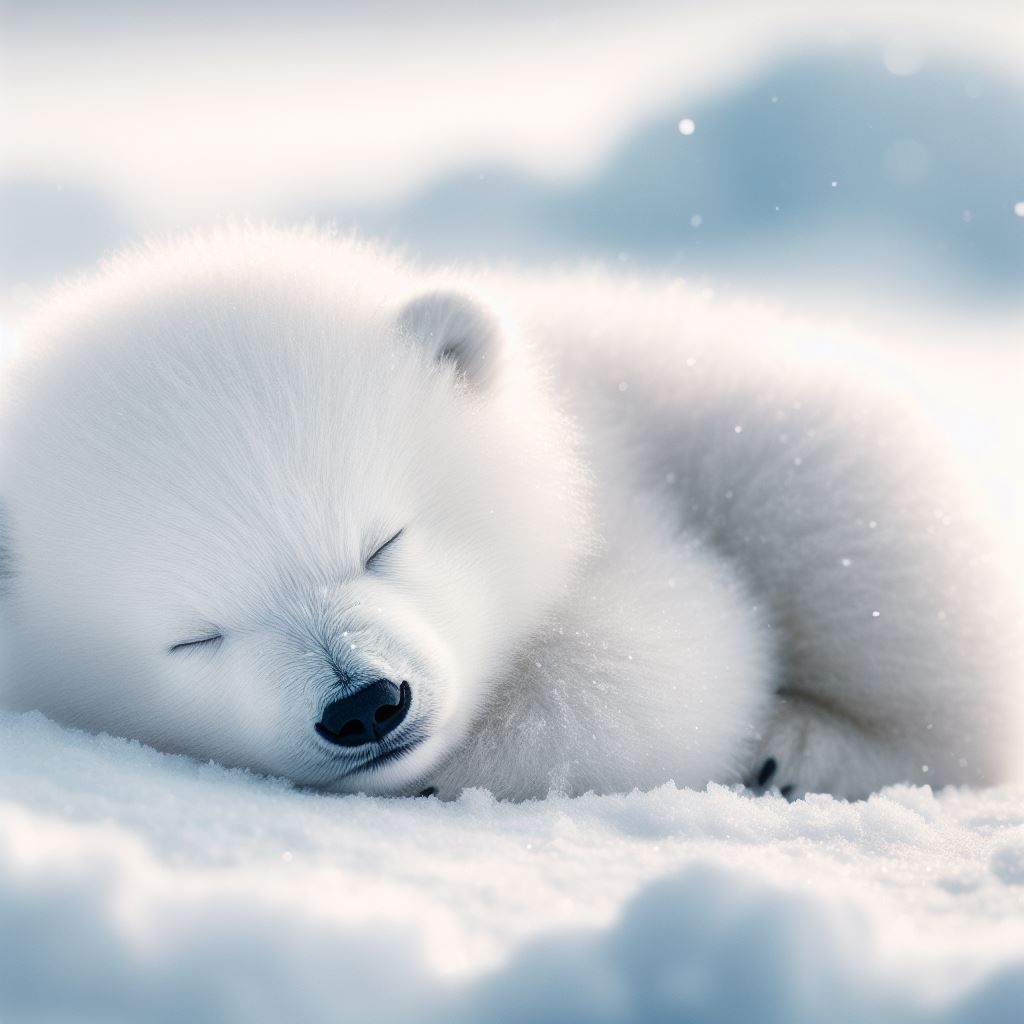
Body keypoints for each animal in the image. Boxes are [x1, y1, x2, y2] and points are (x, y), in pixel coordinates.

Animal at [0, 226, 1019, 800]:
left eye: (384, 541)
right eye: (194, 634)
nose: (365, 703)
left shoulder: (630, 498)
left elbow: (661, 661)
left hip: (773, 440)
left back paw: (805, 747)